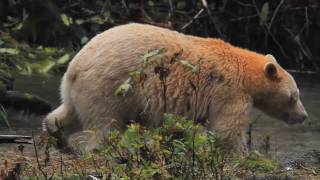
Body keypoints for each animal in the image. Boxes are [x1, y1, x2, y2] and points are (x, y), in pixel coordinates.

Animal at [44, 23, 308, 153]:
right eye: (294, 97)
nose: (303, 116)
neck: (244, 71)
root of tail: (74, 67)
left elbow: (175, 127)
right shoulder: (230, 92)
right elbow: (227, 130)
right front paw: (243, 155)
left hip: (81, 91)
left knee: (68, 114)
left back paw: (58, 136)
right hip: (110, 87)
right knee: (105, 126)